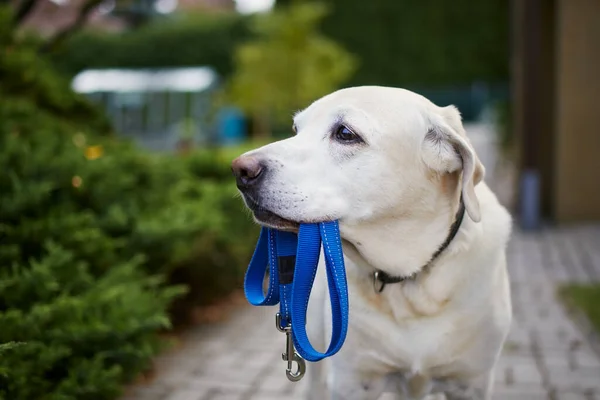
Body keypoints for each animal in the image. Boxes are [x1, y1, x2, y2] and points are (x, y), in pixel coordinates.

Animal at [230, 86, 510, 398]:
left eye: (345, 133)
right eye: (295, 130)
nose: (240, 170)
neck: (411, 279)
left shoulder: (471, 382)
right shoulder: (352, 382)